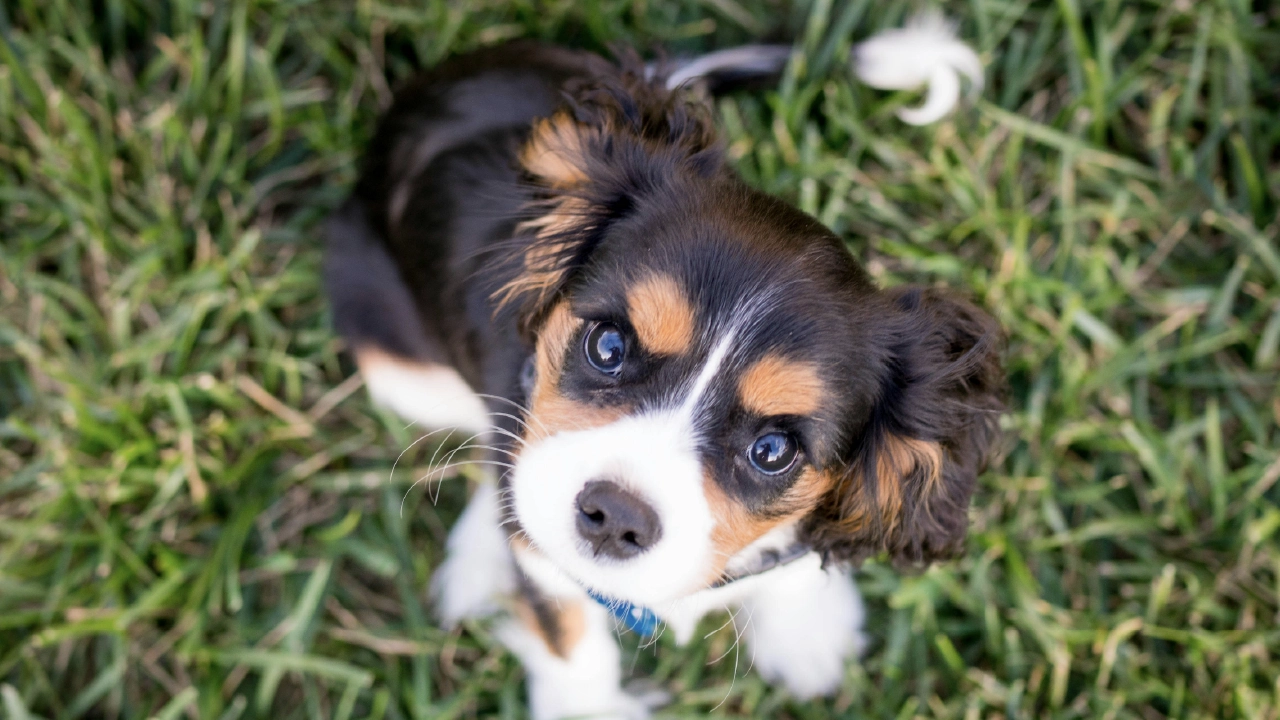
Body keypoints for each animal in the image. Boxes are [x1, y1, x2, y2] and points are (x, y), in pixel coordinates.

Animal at [325, 26, 1003, 712]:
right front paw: (588, 708)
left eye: (773, 450)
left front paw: (805, 632)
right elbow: (569, 637)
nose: (616, 516)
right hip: (396, 358)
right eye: (607, 347)